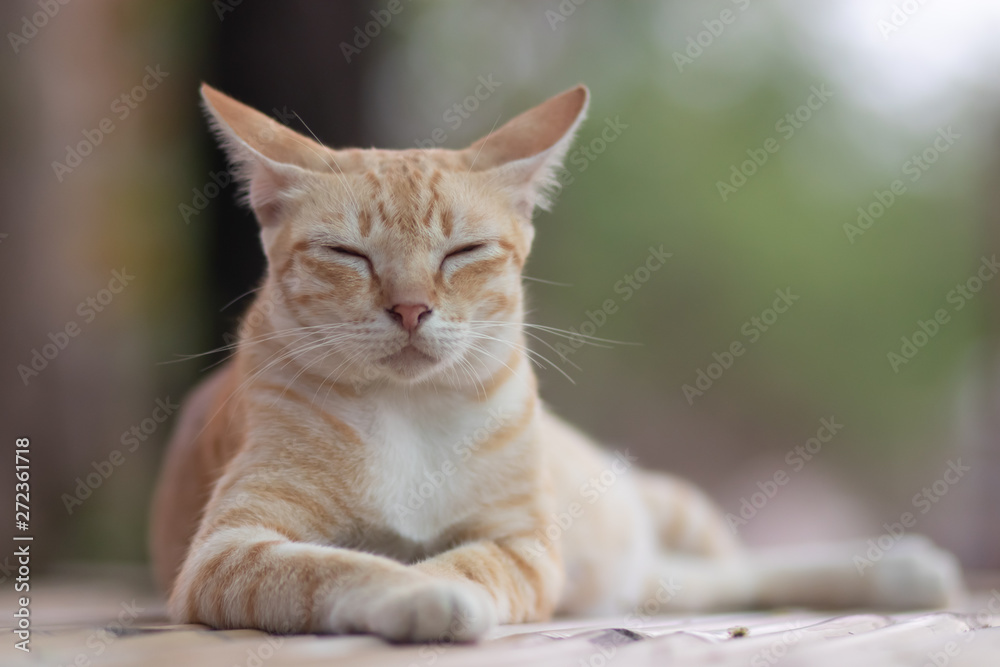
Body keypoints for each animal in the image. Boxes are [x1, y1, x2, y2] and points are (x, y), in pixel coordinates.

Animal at [152, 83, 964, 640]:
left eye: (462, 252)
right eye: (347, 254)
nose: (411, 308)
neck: (409, 415)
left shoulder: (526, 546)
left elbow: (468, 560)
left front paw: (440, 583)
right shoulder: (228, 550)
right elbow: (337, 564)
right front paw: (416, 592)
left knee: (737, 566)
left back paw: (901, 568)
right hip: (638, 575)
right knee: (715, 581)